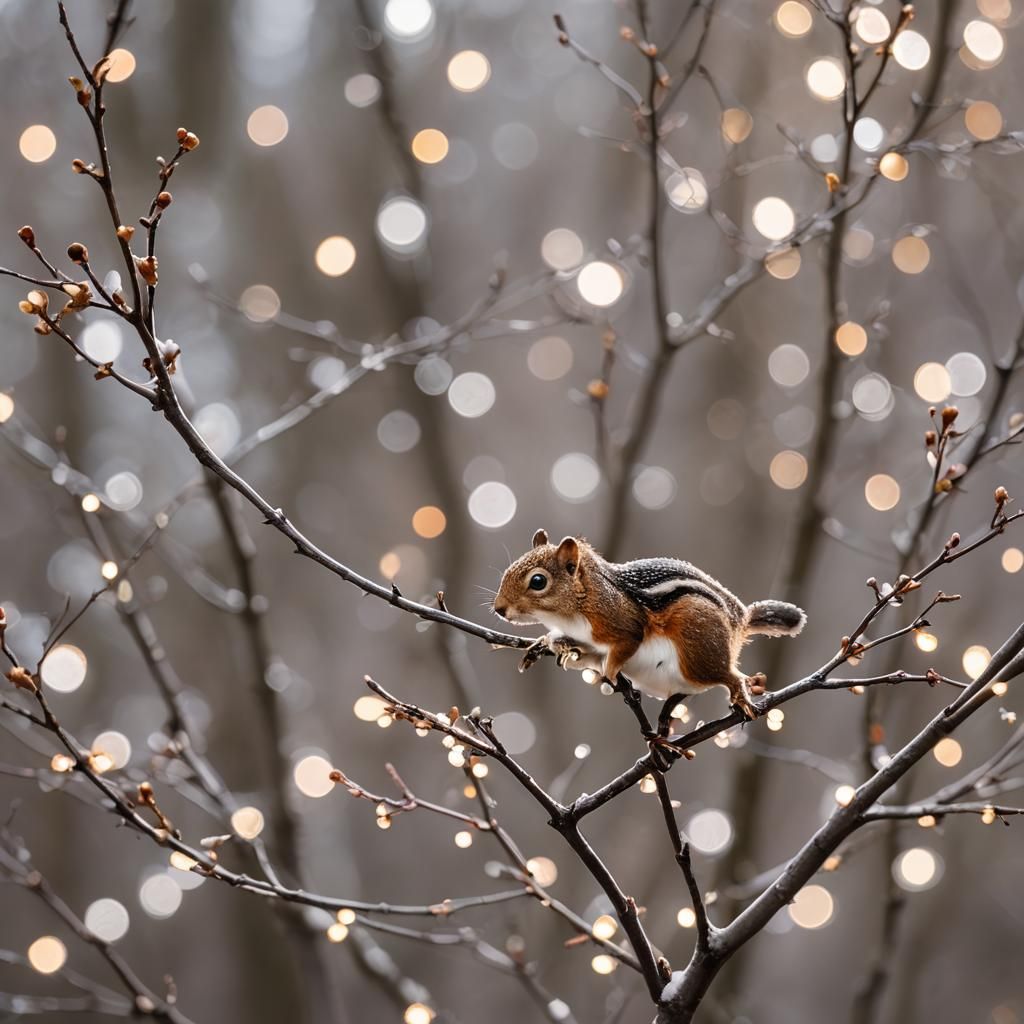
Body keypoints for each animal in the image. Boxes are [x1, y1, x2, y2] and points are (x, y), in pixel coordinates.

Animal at [493, 530, 806, 721]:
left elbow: (626, 643)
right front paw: (549, 644)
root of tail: (739, 621)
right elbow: (584, 653)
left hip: (698, 647)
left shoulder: (622, 622)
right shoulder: (588, 641)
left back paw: (739, 693)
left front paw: (609, 670)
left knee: (728, 675)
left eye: (538, 581)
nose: (499, 609)